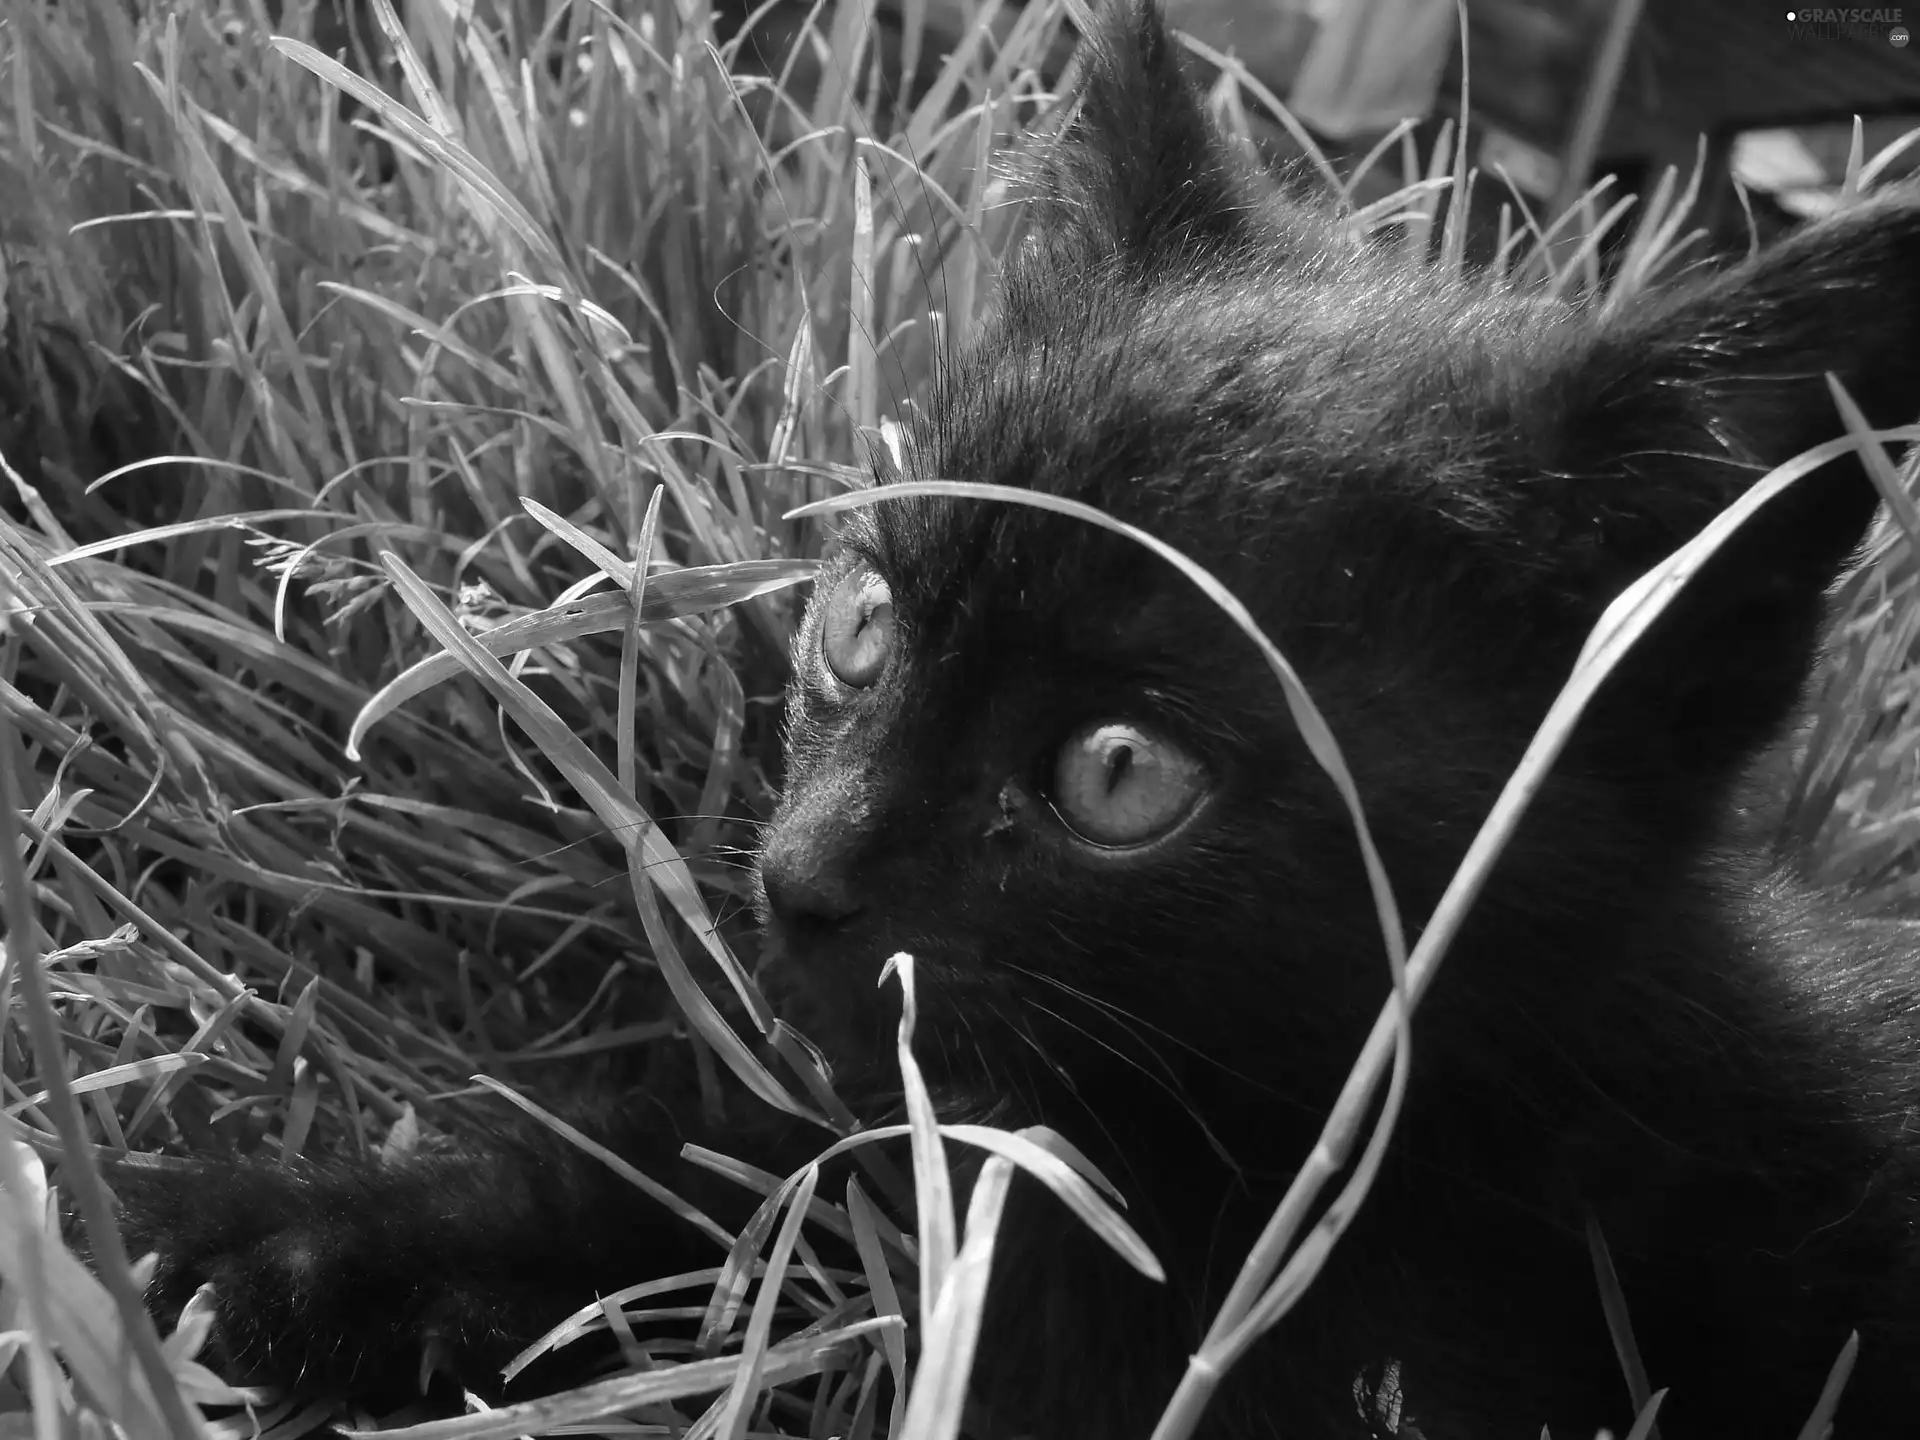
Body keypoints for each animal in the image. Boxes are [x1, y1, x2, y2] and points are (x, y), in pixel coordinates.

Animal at [97, 0, 1920, 1436]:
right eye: (862, 623)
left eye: (1119, 772)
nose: (802, 881)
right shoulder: (884, 1122)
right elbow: (656, 1177)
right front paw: (196, 1244)